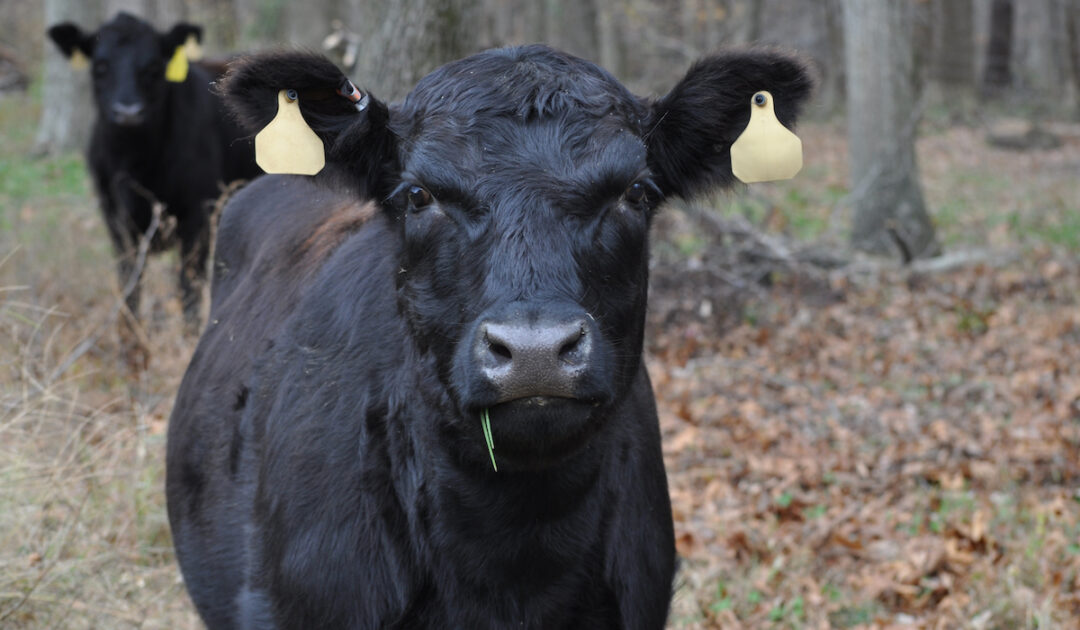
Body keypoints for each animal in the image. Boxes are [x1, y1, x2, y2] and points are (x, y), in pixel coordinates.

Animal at [46, 12, 260, 335]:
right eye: (100, 66)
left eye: (153, 67)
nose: (128, 112)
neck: (136, 164)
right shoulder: (117, 221)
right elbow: (130, 287)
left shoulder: (198, 216)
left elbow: (189, 289)